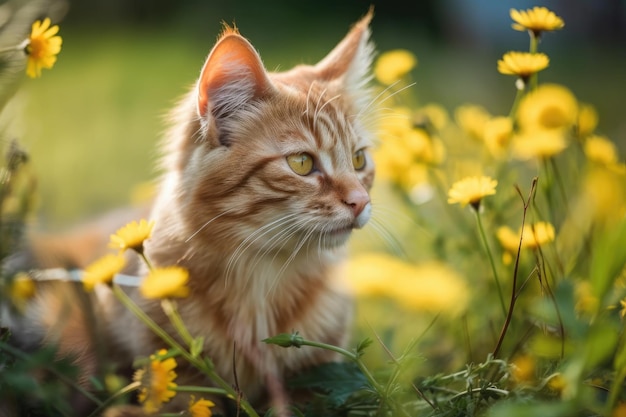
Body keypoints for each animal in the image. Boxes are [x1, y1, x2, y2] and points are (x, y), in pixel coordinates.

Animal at [1, 7, 376, 416]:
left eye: (359, 160)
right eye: (302, 163)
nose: (360, 201)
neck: (262, 279)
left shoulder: (315, 372)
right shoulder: (175, 374)